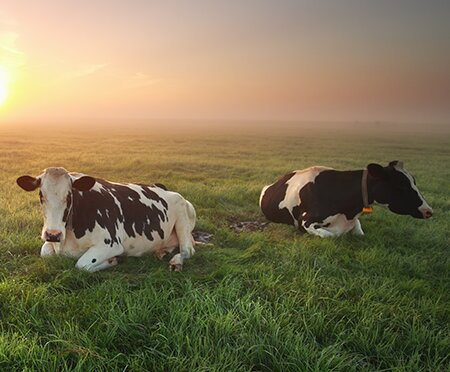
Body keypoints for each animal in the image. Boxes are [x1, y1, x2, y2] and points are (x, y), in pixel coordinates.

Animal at [16, 167, 196, 272]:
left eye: (69, 196)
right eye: (41, 195)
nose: (53, 234)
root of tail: (161, 186)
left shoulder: (110, 244)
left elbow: (82, 265)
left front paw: (113, 260)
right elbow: (45, 253)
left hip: (183, 214)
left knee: (187, 250)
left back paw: (176, 262)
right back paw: (161, 252)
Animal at [260, 161, 432, 237]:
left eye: (414, 181)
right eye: (400, 186)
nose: (429, 211)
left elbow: (360, 231)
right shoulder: (305, 220)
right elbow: (330, 234)